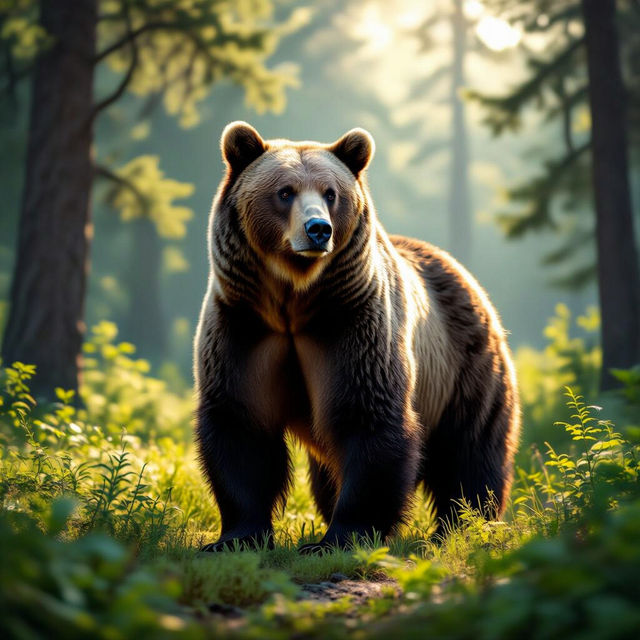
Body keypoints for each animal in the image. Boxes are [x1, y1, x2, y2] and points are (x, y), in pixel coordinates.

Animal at [194, 121, 520, 553]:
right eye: (285, 191)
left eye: (331, 193)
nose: (318, 229)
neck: (294, 301)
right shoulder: (244, 325)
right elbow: (240, 423)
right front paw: (234, 537)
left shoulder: (352, 322)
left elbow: (367, 416)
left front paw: (340, 537)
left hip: (464, 365)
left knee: (470, 449)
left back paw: (463, 525)